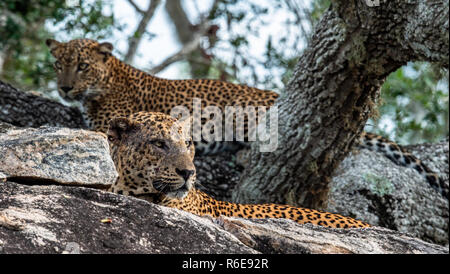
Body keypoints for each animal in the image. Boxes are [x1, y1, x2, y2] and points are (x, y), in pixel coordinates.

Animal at [44, 38, 446, 199]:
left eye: (82, 66)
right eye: (58, 65)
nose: (64, 88)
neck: (109, 80)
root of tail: (274, 94)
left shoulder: (109, 126)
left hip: (248, 115)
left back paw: (242, 153)